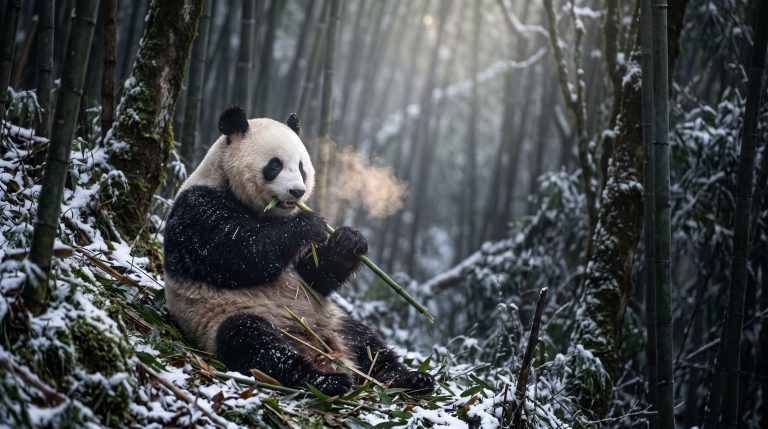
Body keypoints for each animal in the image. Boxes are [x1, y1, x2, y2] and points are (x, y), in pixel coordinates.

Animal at [163, 106, 435, 396]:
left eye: (302, 167)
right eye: (274, 165)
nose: (297, 191)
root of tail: (318, 345)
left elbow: (314, 275)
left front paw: (349, 240)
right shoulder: (198, 209)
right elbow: (234, 254)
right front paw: (309, 223)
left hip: (332, 318)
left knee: (369, 344)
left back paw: (411, 379)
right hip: (229, 317)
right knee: (256, 344)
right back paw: (325, 381)